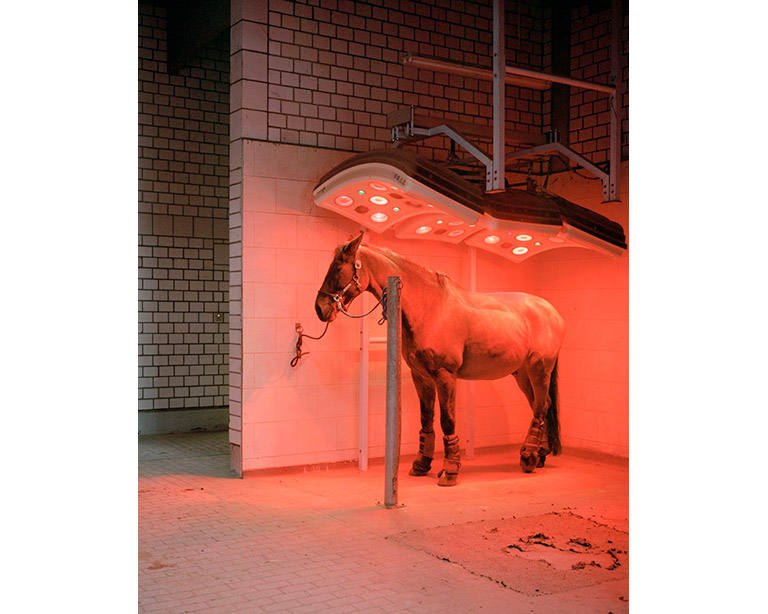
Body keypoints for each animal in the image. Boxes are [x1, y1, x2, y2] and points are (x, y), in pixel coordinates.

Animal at [315, 232, 565, 486]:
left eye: (338, 267)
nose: (320, 308)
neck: (430, 308)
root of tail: (552, 312)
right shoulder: (422, 376)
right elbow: (427, 418)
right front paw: (421, 464)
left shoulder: (445, 375)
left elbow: (447, 420)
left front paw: (450, 471)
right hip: (522, 373)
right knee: (542, 405)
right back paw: (539, 454)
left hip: (539, 370)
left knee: (539, 407)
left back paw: (529, 457)